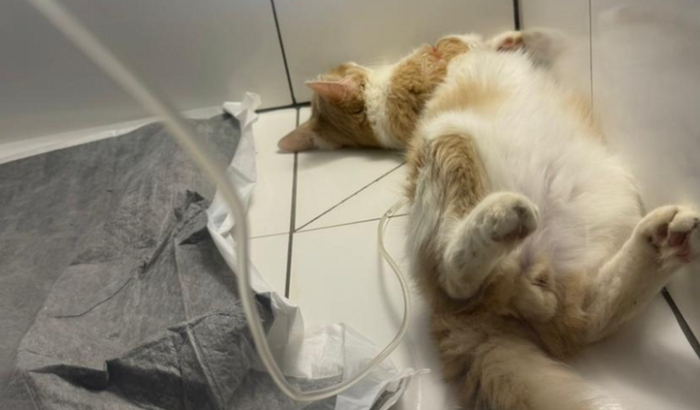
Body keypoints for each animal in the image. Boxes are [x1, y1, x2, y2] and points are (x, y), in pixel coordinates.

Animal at [402, 31, 700, 409]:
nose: (438, 45)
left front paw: (525, 39)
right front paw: (519, 40)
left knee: (581, 315)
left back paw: (664, 240)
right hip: (449, 143)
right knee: (457, 276)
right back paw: (504, 219)